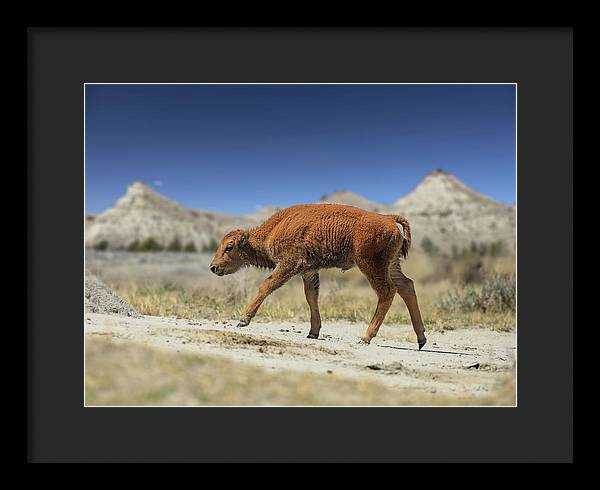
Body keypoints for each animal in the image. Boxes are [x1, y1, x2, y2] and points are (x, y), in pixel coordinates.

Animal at [211, 203, 426, 348]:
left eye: (229, 247)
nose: (213, 267)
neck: (275, 229)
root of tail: (388, 218)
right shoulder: (309, 271)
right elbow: (311, 297)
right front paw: (313, 333)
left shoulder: (289, 265)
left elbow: (267, 285)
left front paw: (243, 319)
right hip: (392, 265)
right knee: (406, 286)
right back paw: (421, 338)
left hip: (371, 265)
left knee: (387, 291)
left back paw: (366, 337)